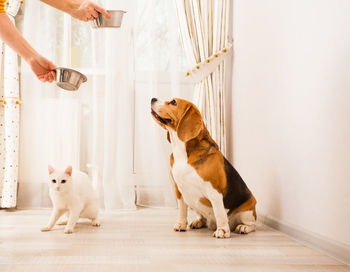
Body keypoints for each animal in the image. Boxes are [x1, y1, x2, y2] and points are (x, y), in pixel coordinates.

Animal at [151, 98, 258, 238]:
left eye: (173, 102)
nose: (152, 99)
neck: (181, 151)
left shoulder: (214, 191)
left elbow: (219, 212)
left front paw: (222, 230)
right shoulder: (178, 189)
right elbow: (182, 210)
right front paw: (181, 224)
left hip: (248, 210)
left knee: (252, 225)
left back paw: (243, 227)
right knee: (202, 216)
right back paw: (198, 221)